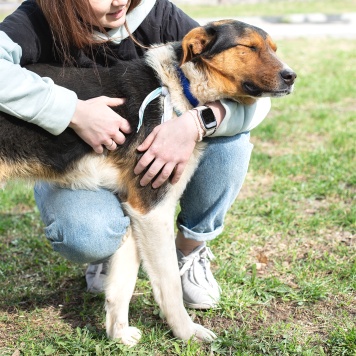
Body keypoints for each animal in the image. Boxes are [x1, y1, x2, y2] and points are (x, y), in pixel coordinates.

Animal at [0, 19, 294, 344]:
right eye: (248, 47)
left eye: (273, 49)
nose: (292, 76)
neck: (180, 88)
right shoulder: (153, 210)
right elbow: (169, 285)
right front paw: (187, 333)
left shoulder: (135, 212)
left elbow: (122, 286)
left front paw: (118, 335)